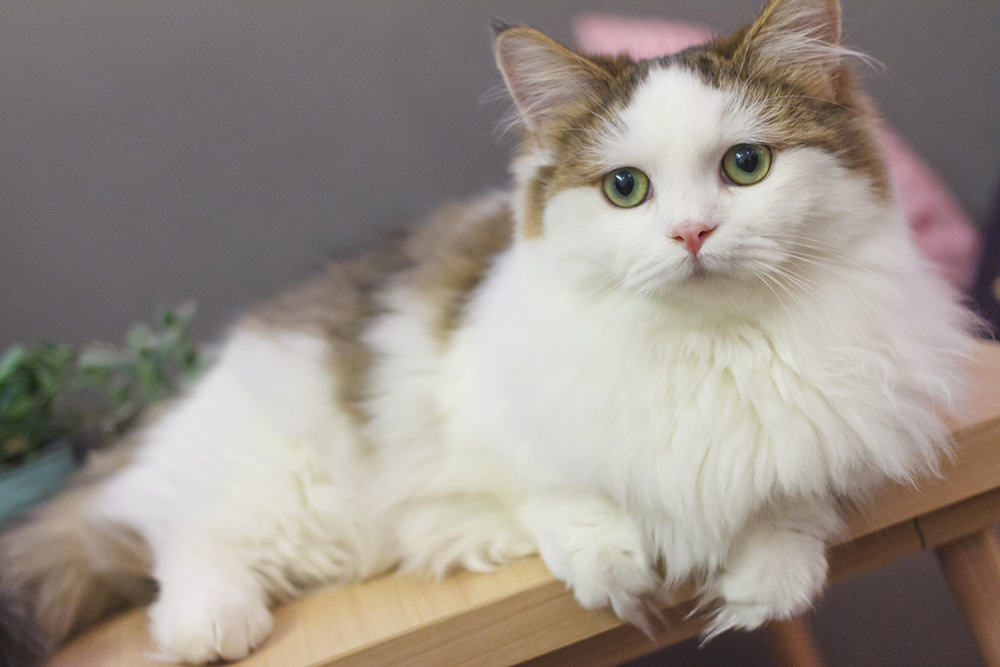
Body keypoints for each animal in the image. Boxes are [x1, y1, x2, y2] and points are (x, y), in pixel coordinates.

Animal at [0, 0, 968, 664]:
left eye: (747, 165)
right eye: (625, 188)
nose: (692, 234)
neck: (712, 347)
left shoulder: (861, 405)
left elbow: (790, 490)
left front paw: (768, 577)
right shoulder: (479, 402)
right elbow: (559, 485)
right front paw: (610, 557)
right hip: (294, 494)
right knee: (170, 535)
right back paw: (213, 622)